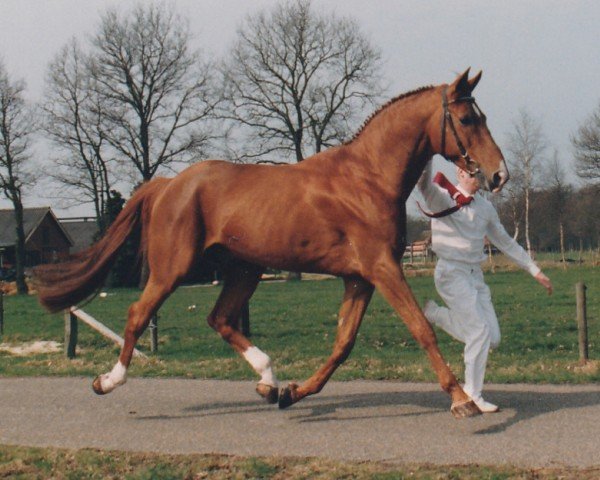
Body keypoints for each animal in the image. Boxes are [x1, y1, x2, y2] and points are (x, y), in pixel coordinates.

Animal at [35, 69, 508, 418]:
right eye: (468, 119)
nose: (499, 174)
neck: (368, 177)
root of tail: (169, 184)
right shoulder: (381, 268)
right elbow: (421, 328)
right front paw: (461, 400)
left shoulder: (359, 278)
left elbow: (343, 344)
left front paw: (293, 393)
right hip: (173, 269)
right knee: (139, 314)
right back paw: (108, 381)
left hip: (245, 269)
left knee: (221, 318)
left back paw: (269, 380)